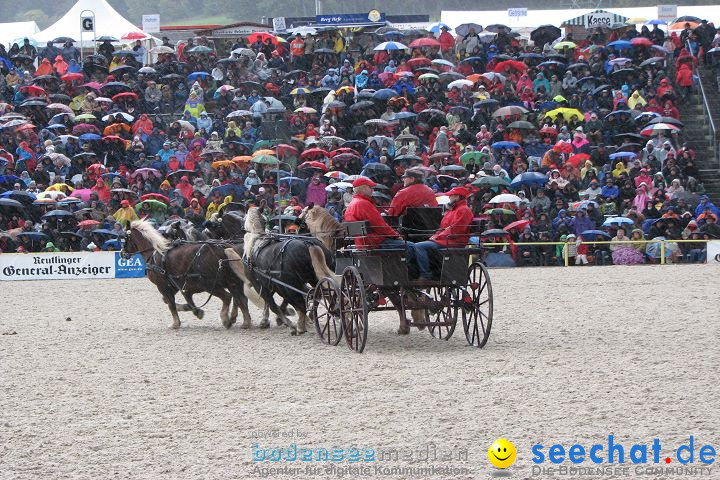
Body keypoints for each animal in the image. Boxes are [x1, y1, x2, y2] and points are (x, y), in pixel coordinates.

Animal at [125, 220, 255, 330]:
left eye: (125, 238)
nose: (122, 253)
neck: (155, 253)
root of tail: (223, 248)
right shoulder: (176, 284)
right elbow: (172, 301)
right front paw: (193, 310)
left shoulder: (163, 285)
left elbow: (171, 304)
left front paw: (176, 323)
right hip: (230, 281)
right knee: (240, 299)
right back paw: (244, 321)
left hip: (210, 285)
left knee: (229, 297)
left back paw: (226, 320)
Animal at [225, 206, 338, 334]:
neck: (256, 243)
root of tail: (309, 244)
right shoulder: (271, 283)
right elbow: (271, 304)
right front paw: (266, 320)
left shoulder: (261, 285)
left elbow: (273, 305)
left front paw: (289, 323)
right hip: (314, 279)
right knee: (325, 295)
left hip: (291, 284)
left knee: (303, 302)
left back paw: (300, 326)